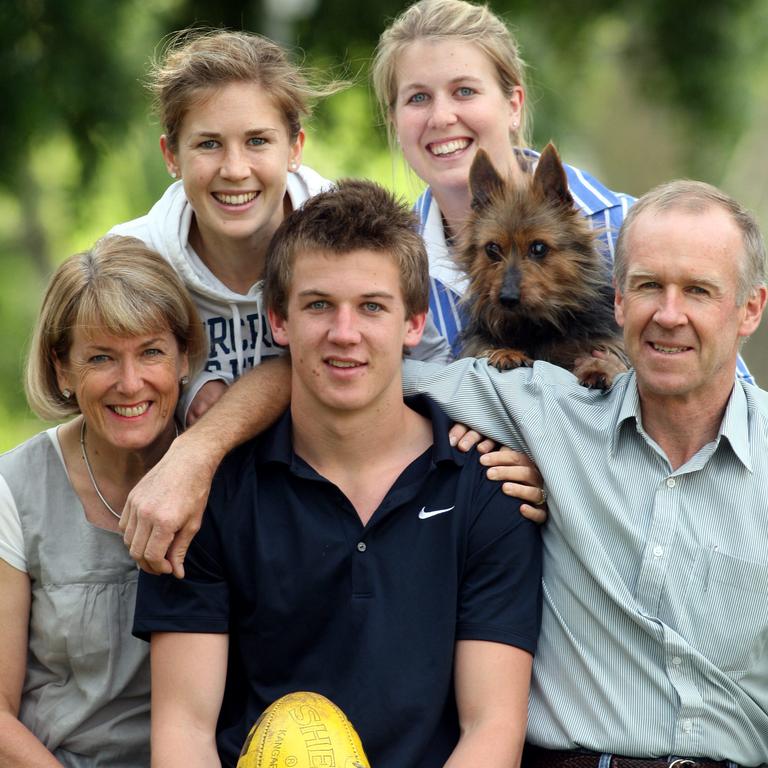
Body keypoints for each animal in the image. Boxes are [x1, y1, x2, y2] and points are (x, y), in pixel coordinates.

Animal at [456, 141, 624, 388]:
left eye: (538, 248)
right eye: (492, 249)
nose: (507, 298)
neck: (537, 325)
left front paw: (599, 368)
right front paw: (506, 352)